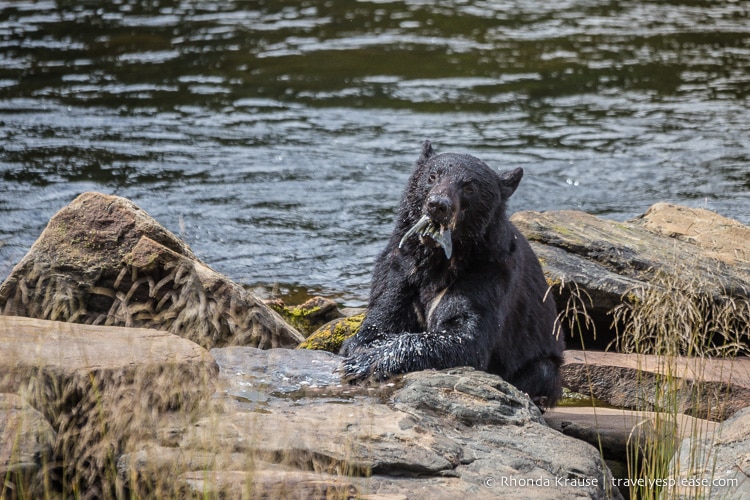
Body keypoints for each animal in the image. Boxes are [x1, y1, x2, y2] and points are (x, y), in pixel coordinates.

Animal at [340, 140, 564, 406]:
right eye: (432, 176)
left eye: (469, 187)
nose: (438, 205)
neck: (438, 259)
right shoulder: (400, 268)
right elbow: (383, 314)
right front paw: (357, 347)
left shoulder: (488, 275)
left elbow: (465, 336)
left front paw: (368, 361)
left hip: (543, 362)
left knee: (542, 372)